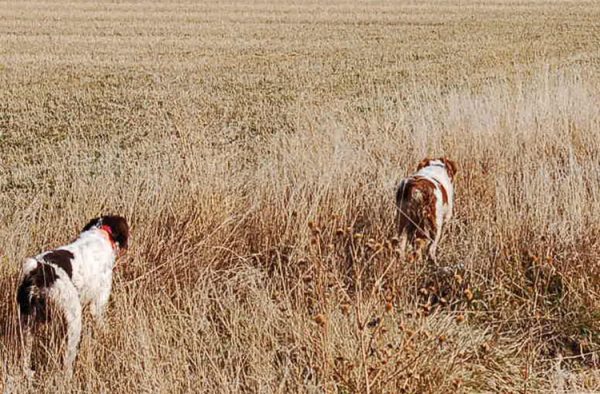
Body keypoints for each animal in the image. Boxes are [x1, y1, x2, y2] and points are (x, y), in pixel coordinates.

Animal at [17, 215, 128, 376]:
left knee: (25, 353)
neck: (100, 232)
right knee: (68, 357)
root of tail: (39, 271)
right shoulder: (98, 303)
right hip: (73, 318)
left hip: (27, 323)